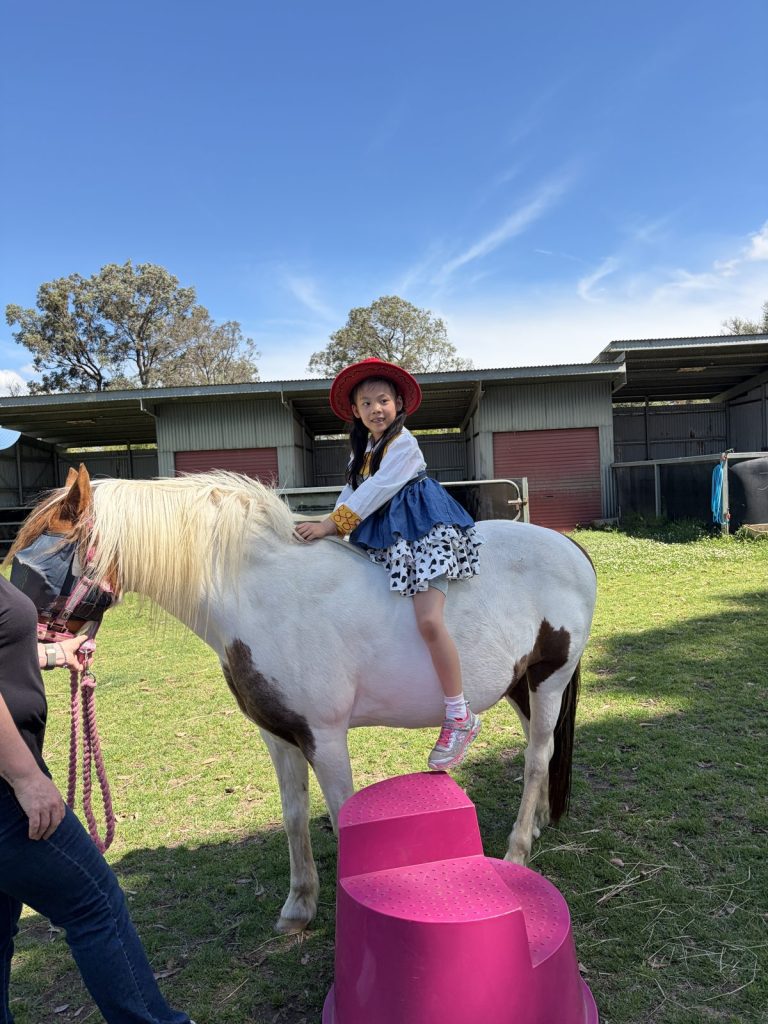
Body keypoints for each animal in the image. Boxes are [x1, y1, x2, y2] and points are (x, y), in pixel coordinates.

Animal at [9, 464, 597, 934]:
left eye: (37, 563)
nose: (31, 648)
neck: (263, 597)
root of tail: (571, 548)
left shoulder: (325, 737)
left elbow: (342, 816)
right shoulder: (279, 735)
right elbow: (294, 815)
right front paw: (299, 907)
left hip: (549, 680)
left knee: (537, 755)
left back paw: (517, 851)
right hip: (520, 685)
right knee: (538, 754)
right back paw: (535, 825)